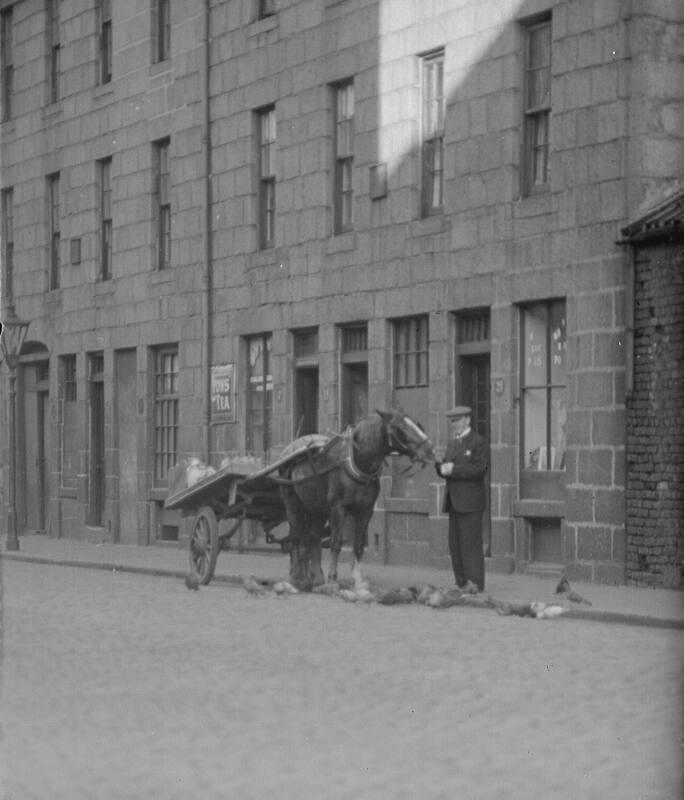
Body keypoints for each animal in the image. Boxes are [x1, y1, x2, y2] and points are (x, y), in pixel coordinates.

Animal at [276, 410, 432, 592]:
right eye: (399, 427)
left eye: (417, 423)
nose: (429, 449)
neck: (358, 462)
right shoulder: (338, 508)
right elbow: (336, 542)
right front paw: (333, 580)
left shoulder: (365, 510)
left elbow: (358, 544)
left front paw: (358, 580)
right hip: (293, 506)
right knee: (296, 537)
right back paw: (295, 578)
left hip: (317, 509)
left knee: (313, 537)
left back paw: (316, 579)